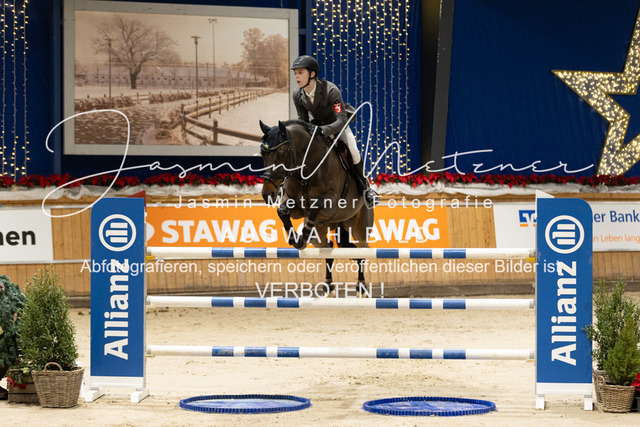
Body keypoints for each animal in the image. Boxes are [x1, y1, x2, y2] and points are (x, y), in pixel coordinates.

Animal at [259, 119, 374, 296]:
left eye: (282, 152)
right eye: (262, 154)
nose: (267, 194)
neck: (307, 169)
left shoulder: (331, 203)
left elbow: (316, 205)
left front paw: (303, 235)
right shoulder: (295, 205)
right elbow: (283, 211)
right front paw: (296, 239)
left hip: (360, 227)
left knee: (361, 250)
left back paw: (361, 288)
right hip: (322, 231)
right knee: (328, 247)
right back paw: (328, 286)